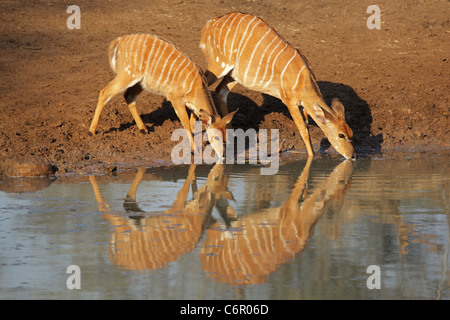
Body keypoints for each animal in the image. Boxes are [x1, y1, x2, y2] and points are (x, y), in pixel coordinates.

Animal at [88, 32, 236, 158]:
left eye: (226, 136)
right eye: (216, 137)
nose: (223, 154)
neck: (196, 86)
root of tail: (119, 41)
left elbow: (194, 118)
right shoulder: (175, 98)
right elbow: (186, 123)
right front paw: (195, 150)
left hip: (141, 82)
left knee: (129, 96)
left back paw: (143, 129)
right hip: (127, 75)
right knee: (104, 92)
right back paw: (91, 131)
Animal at [199, 12, 356, 160]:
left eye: (351, 133)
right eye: (341, 135)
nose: (352, 155)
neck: (303, 80)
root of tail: (209, 24)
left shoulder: (302, 105)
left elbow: (306, 125)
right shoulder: (289, 102)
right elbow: (303, 130)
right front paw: (311, 157)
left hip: (234, 74)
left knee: (221, 90)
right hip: (218, 65)